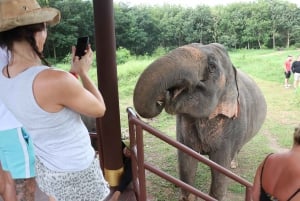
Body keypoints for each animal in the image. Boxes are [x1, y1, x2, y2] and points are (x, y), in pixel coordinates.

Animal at [132, 42, 266, 201]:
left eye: (212, 66)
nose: (161, 99)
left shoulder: (231, 126)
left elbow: (220, 169)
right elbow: (186, 162)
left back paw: (233, 165)